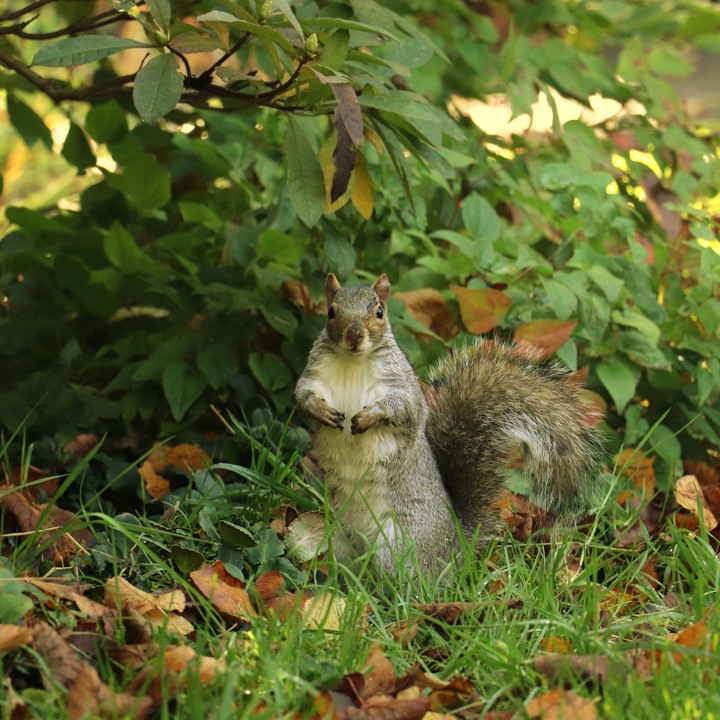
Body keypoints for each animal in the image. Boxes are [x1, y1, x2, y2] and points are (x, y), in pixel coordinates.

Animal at [295, 273, 604, 575]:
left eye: (379, 312)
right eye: (331, 312)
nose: (355, 336)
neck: (353, 362)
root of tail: (455, 549)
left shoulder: (403, 387)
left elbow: (403, 408)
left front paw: (370, 416)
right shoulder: (313, 376)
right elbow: (302, 396)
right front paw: (320, 411)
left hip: (397, 550)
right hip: (337, 538)